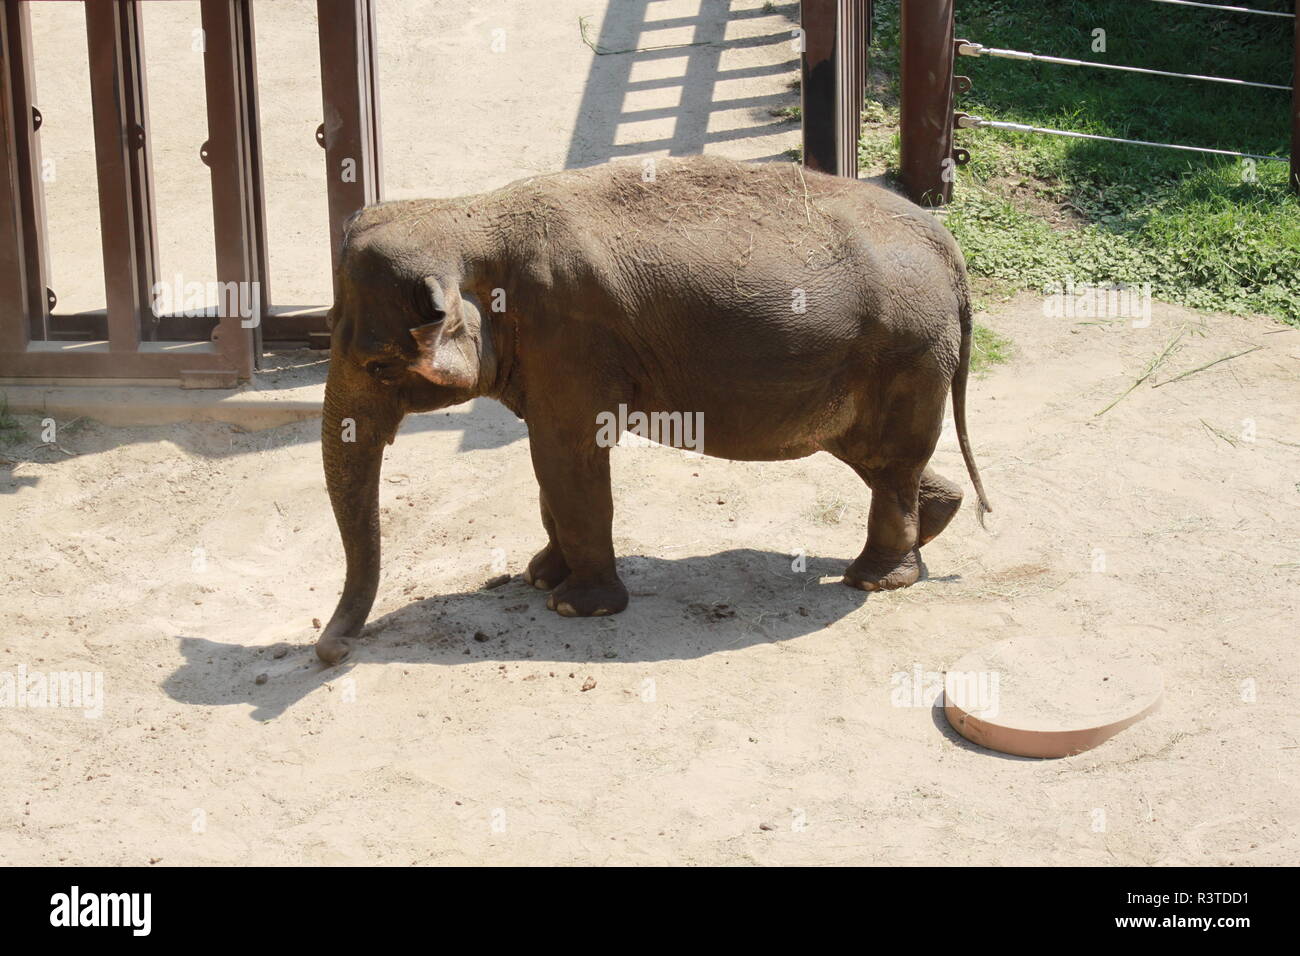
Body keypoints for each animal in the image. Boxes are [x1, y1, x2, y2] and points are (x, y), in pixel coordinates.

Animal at [315, 155, 990, 664]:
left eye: (379, 366)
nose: (331, 651)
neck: (474, 215)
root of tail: (948, 248)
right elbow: (551, 465)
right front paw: (541, 576)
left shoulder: (571, 339)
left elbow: (567, 457)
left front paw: (574, 606)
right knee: (878, 458)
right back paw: (931, 527)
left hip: (904, 355)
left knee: (887, 461)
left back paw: (875, 578)